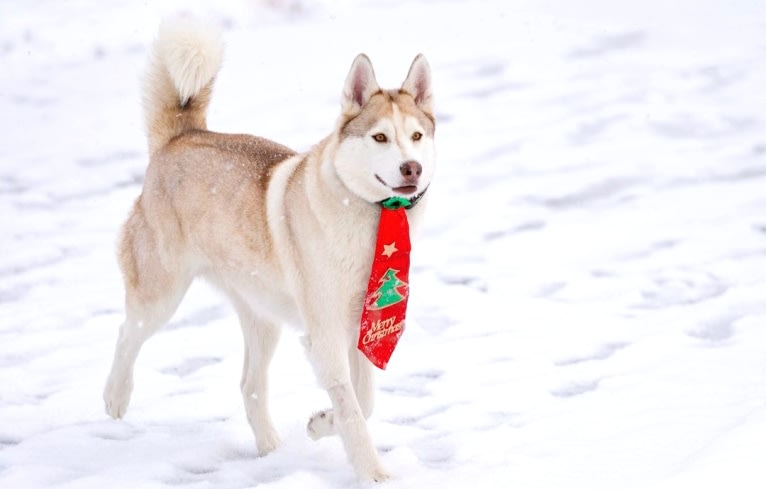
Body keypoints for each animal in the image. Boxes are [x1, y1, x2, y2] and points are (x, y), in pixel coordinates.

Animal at [104, 18, 436, 480]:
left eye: (417, 135)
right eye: (380, 137)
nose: (412, 168)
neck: (368, 221)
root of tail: (183, 135)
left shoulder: (364, 326)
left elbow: (363, 402)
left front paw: (320, 423)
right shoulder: (325, 335)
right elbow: (354, 409)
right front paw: (374, 474)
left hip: (263, 318)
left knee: (249, 386)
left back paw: (271, 450)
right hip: (160, 294)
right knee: (126, 334)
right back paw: (116, 397)